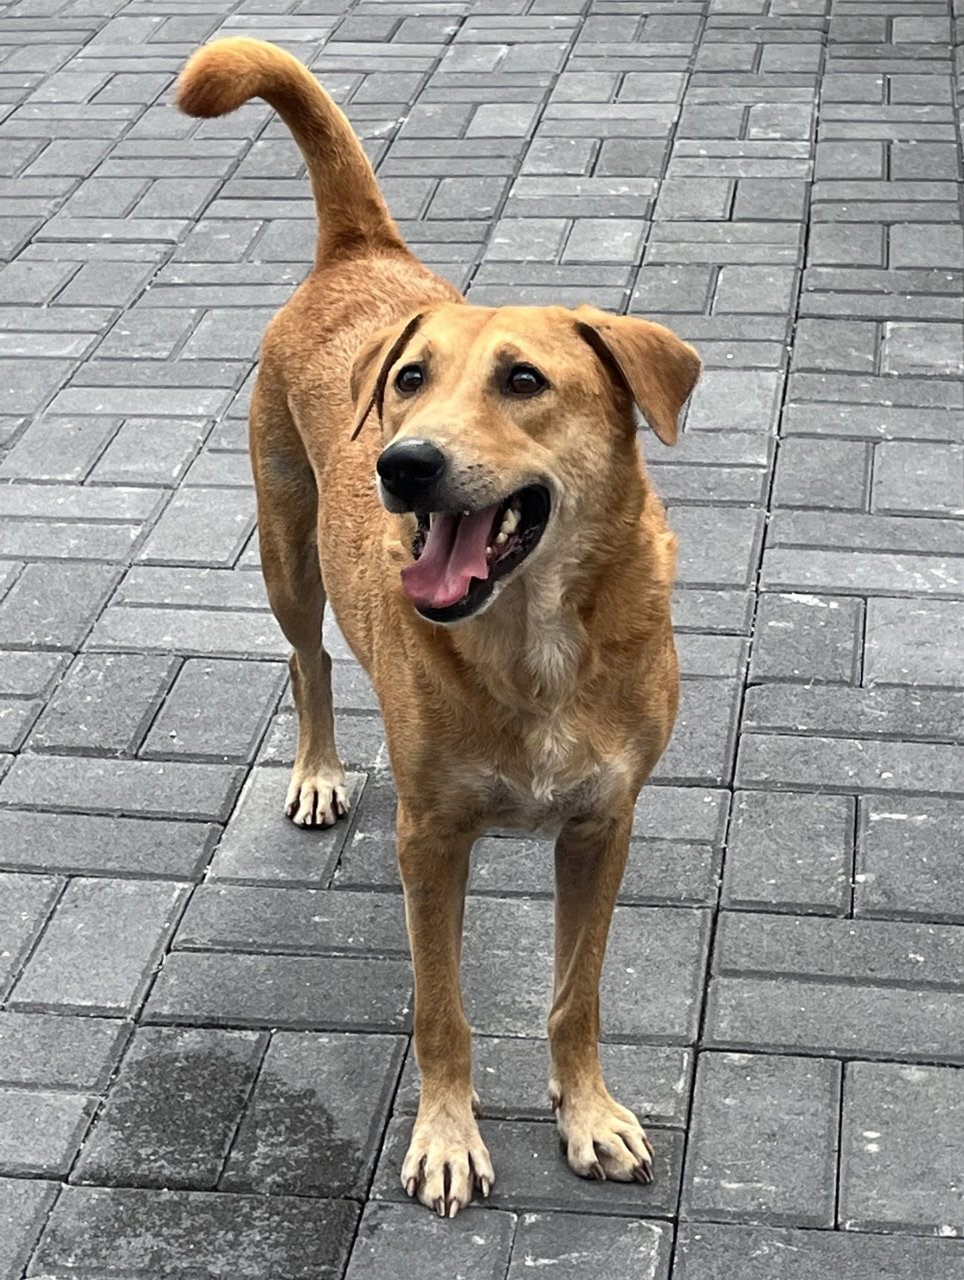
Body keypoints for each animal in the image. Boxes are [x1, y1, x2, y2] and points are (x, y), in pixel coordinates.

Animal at [175, 37, 701, 1218]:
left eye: (524, 380)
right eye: (411, 380)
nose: (401, 462)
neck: (534, 642)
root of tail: (361, 253)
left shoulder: (604, 826)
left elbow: (576, 992)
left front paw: (586, 1112)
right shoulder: (431, 840)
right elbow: (439, 1006)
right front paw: (450, 1135)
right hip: (287, 553)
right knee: (308, 661)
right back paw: (318, 770)